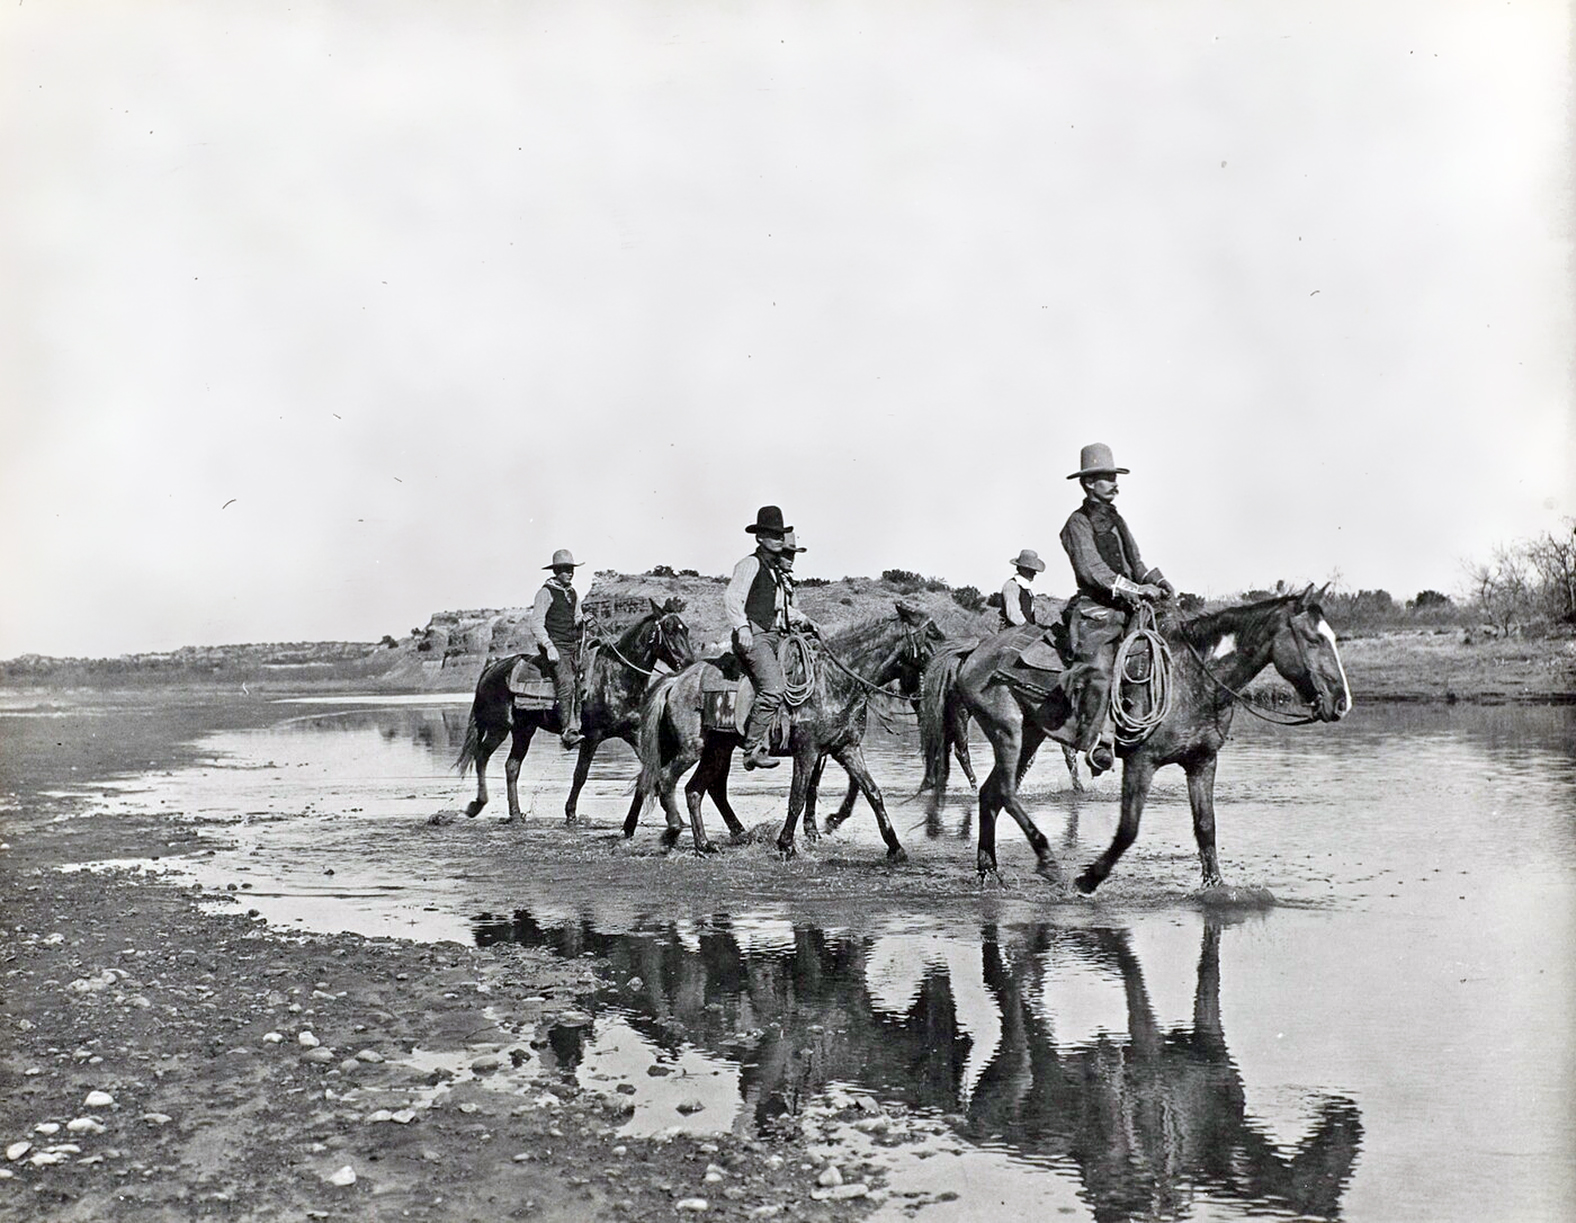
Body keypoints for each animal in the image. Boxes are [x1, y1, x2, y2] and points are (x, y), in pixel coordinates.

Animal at [460, 598, 699, 819]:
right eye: (668, 629)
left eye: (686, 629)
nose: (689, 663)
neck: (616, 675)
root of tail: (492, 668)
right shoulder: (592, 736)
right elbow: (580, 774)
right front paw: (571, 812)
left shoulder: (634, 733)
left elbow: (653, 769)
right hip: (499, 728)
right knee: (481, 756)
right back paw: (477, 804)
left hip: (523, 730)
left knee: (512, 766)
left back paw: (515, 813)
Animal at [627, 611, 914, 857]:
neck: (832, 680)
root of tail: (676, 679)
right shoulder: (807, 752)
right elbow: (798, 796)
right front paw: (788, 843)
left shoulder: (846, 748)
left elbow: (870, 791)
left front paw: (894, 846)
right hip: (692, 747)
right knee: (666, 778)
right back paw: (673, 831)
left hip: (717, 750)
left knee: (697, 789)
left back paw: (706, 844)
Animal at [920, 589, 1355, 888]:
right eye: (1314, 640)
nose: (1341, 702)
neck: (1191, 677)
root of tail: (975, 651)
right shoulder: (1141, 761)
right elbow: (1129, 829)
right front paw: (1088, 879)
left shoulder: (1202, 761)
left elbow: (1206, 827)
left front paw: (1216, 887)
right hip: (1007, 731)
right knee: (1007, 792)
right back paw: (1046, 860)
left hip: (1030, 735)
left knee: (990, 793)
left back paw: (989, 871)